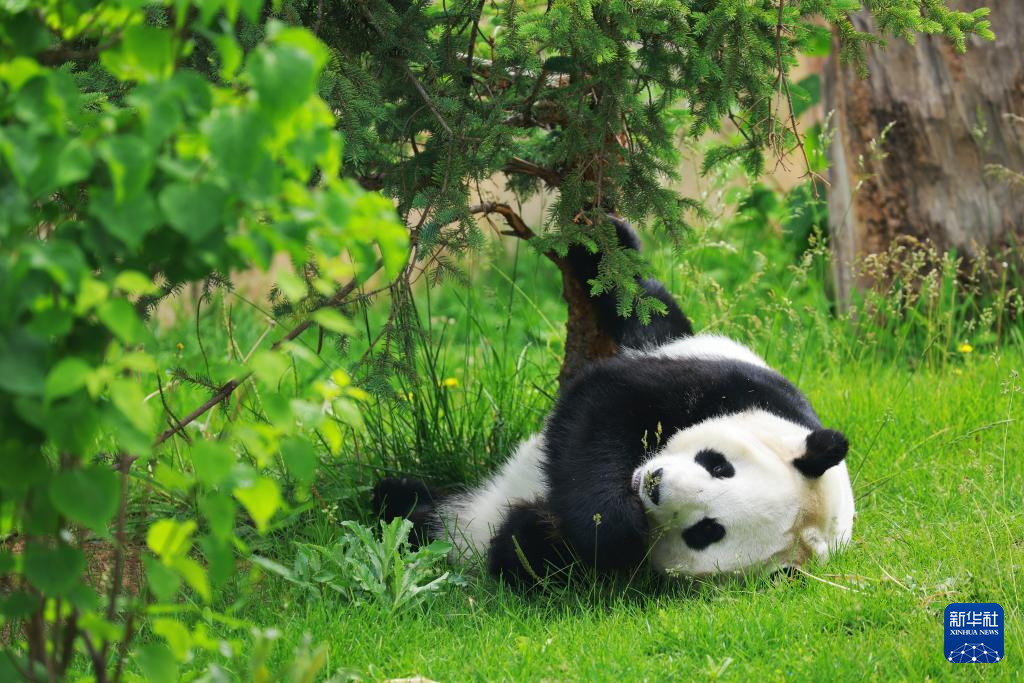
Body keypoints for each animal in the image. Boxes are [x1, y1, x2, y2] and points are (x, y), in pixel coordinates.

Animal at [372, 219, 851, 589]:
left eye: (708, 531)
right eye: (718, 464)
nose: (655, 484)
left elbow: (542, 554)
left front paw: (542, 531)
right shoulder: (733, 388)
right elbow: (605, 409)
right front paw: (614, 520)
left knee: (430, 524)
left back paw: (399, 505)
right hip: (679, 339)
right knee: (643, 303)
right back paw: (602, 242)